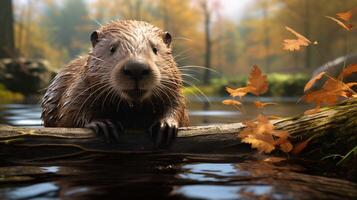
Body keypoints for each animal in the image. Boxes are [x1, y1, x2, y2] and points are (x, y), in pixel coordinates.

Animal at [41, 19, 189, 147]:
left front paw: (165, 126)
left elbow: (178, 104)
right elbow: (70, 110)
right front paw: (104, 124)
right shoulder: (79, 86)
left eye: (155, 49)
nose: (136, 68)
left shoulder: (173, 86)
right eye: (112, 48)